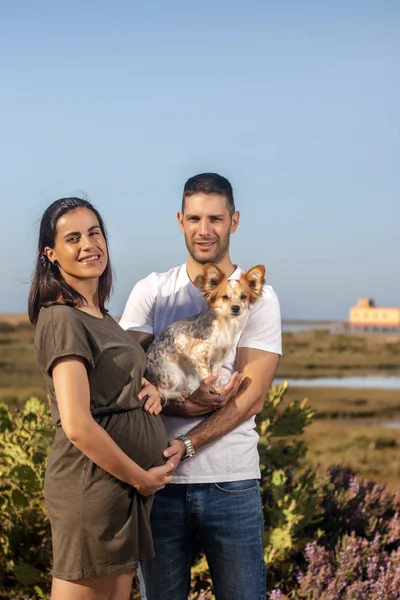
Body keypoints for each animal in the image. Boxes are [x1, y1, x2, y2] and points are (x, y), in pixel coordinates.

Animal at [145, 264, 266, 400]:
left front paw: (218, 388)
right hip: (174, 372)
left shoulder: (218, 359)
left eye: (243, 297)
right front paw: (212, 389)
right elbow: (208, 375)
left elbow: (216, 376)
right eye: (225, 297)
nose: (236, 308)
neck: (225, 323)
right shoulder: (199, 355)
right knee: (160, 391)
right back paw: (179, 394)